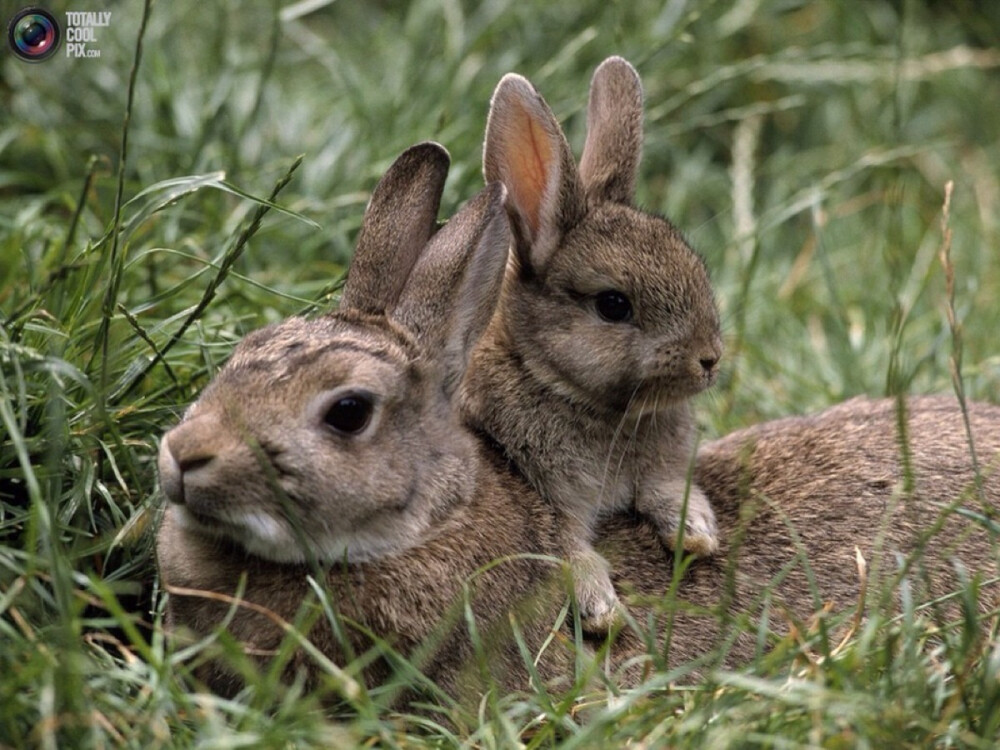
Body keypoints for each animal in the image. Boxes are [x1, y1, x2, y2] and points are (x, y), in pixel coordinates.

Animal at [458, 55, 724, 632]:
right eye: (613, 305)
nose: (710, 360)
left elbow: (666, 489)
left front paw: (696, 533)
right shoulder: (544, 495)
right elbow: (566, 547)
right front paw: (602, 609)